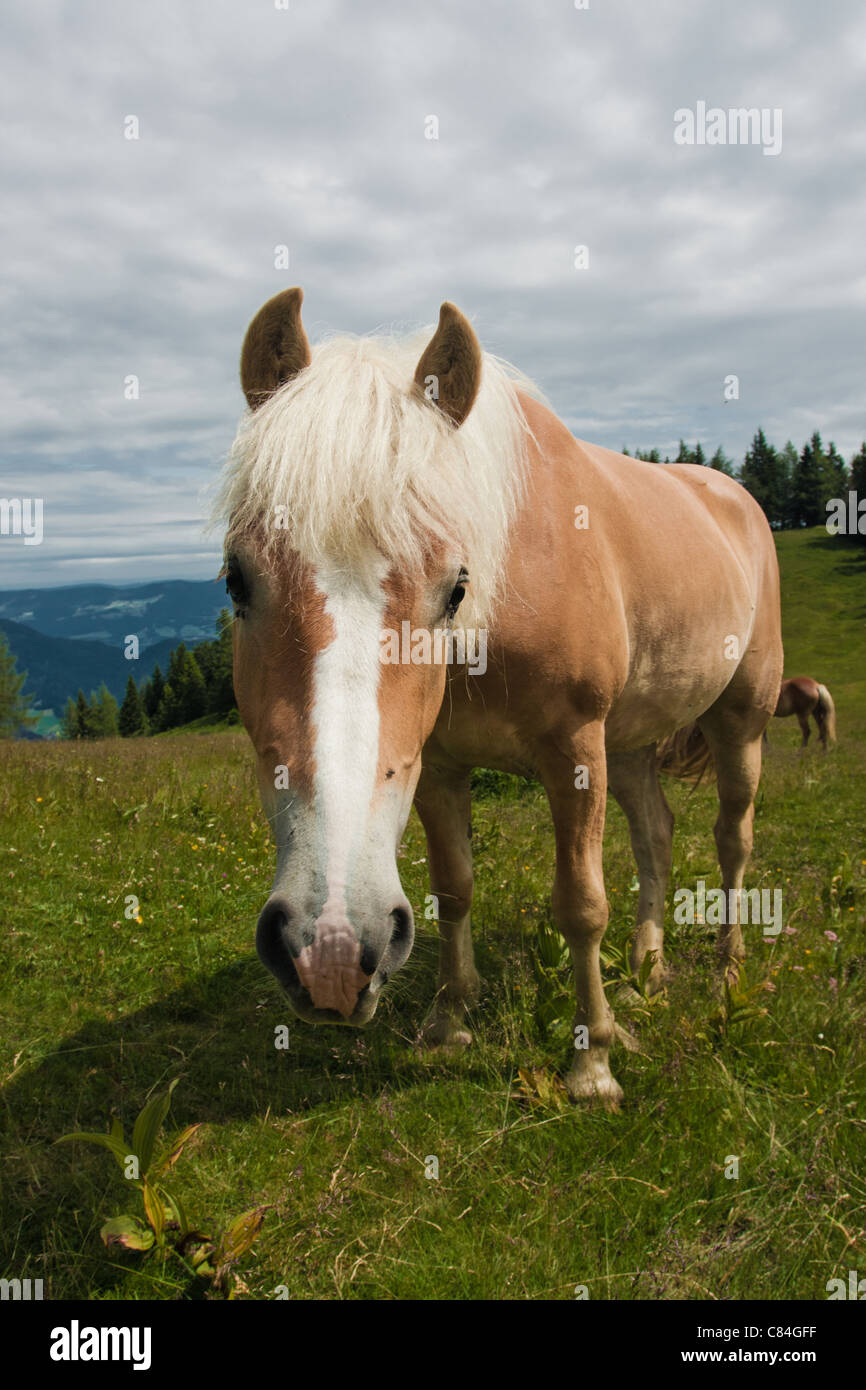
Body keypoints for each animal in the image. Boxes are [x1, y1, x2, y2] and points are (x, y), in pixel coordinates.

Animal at [216, 290, 783, 1106]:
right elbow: (453, 888)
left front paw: (592, 1062)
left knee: (732, 838)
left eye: (455, 587)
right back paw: (645, 972)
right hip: (631, 744)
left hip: (740, 721)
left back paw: (726, 973)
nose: (330, 950)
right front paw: (451, 1021)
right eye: (237, 578)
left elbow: (581, 903)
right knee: (657, 835)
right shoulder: (439, 765)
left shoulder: (574, 747)